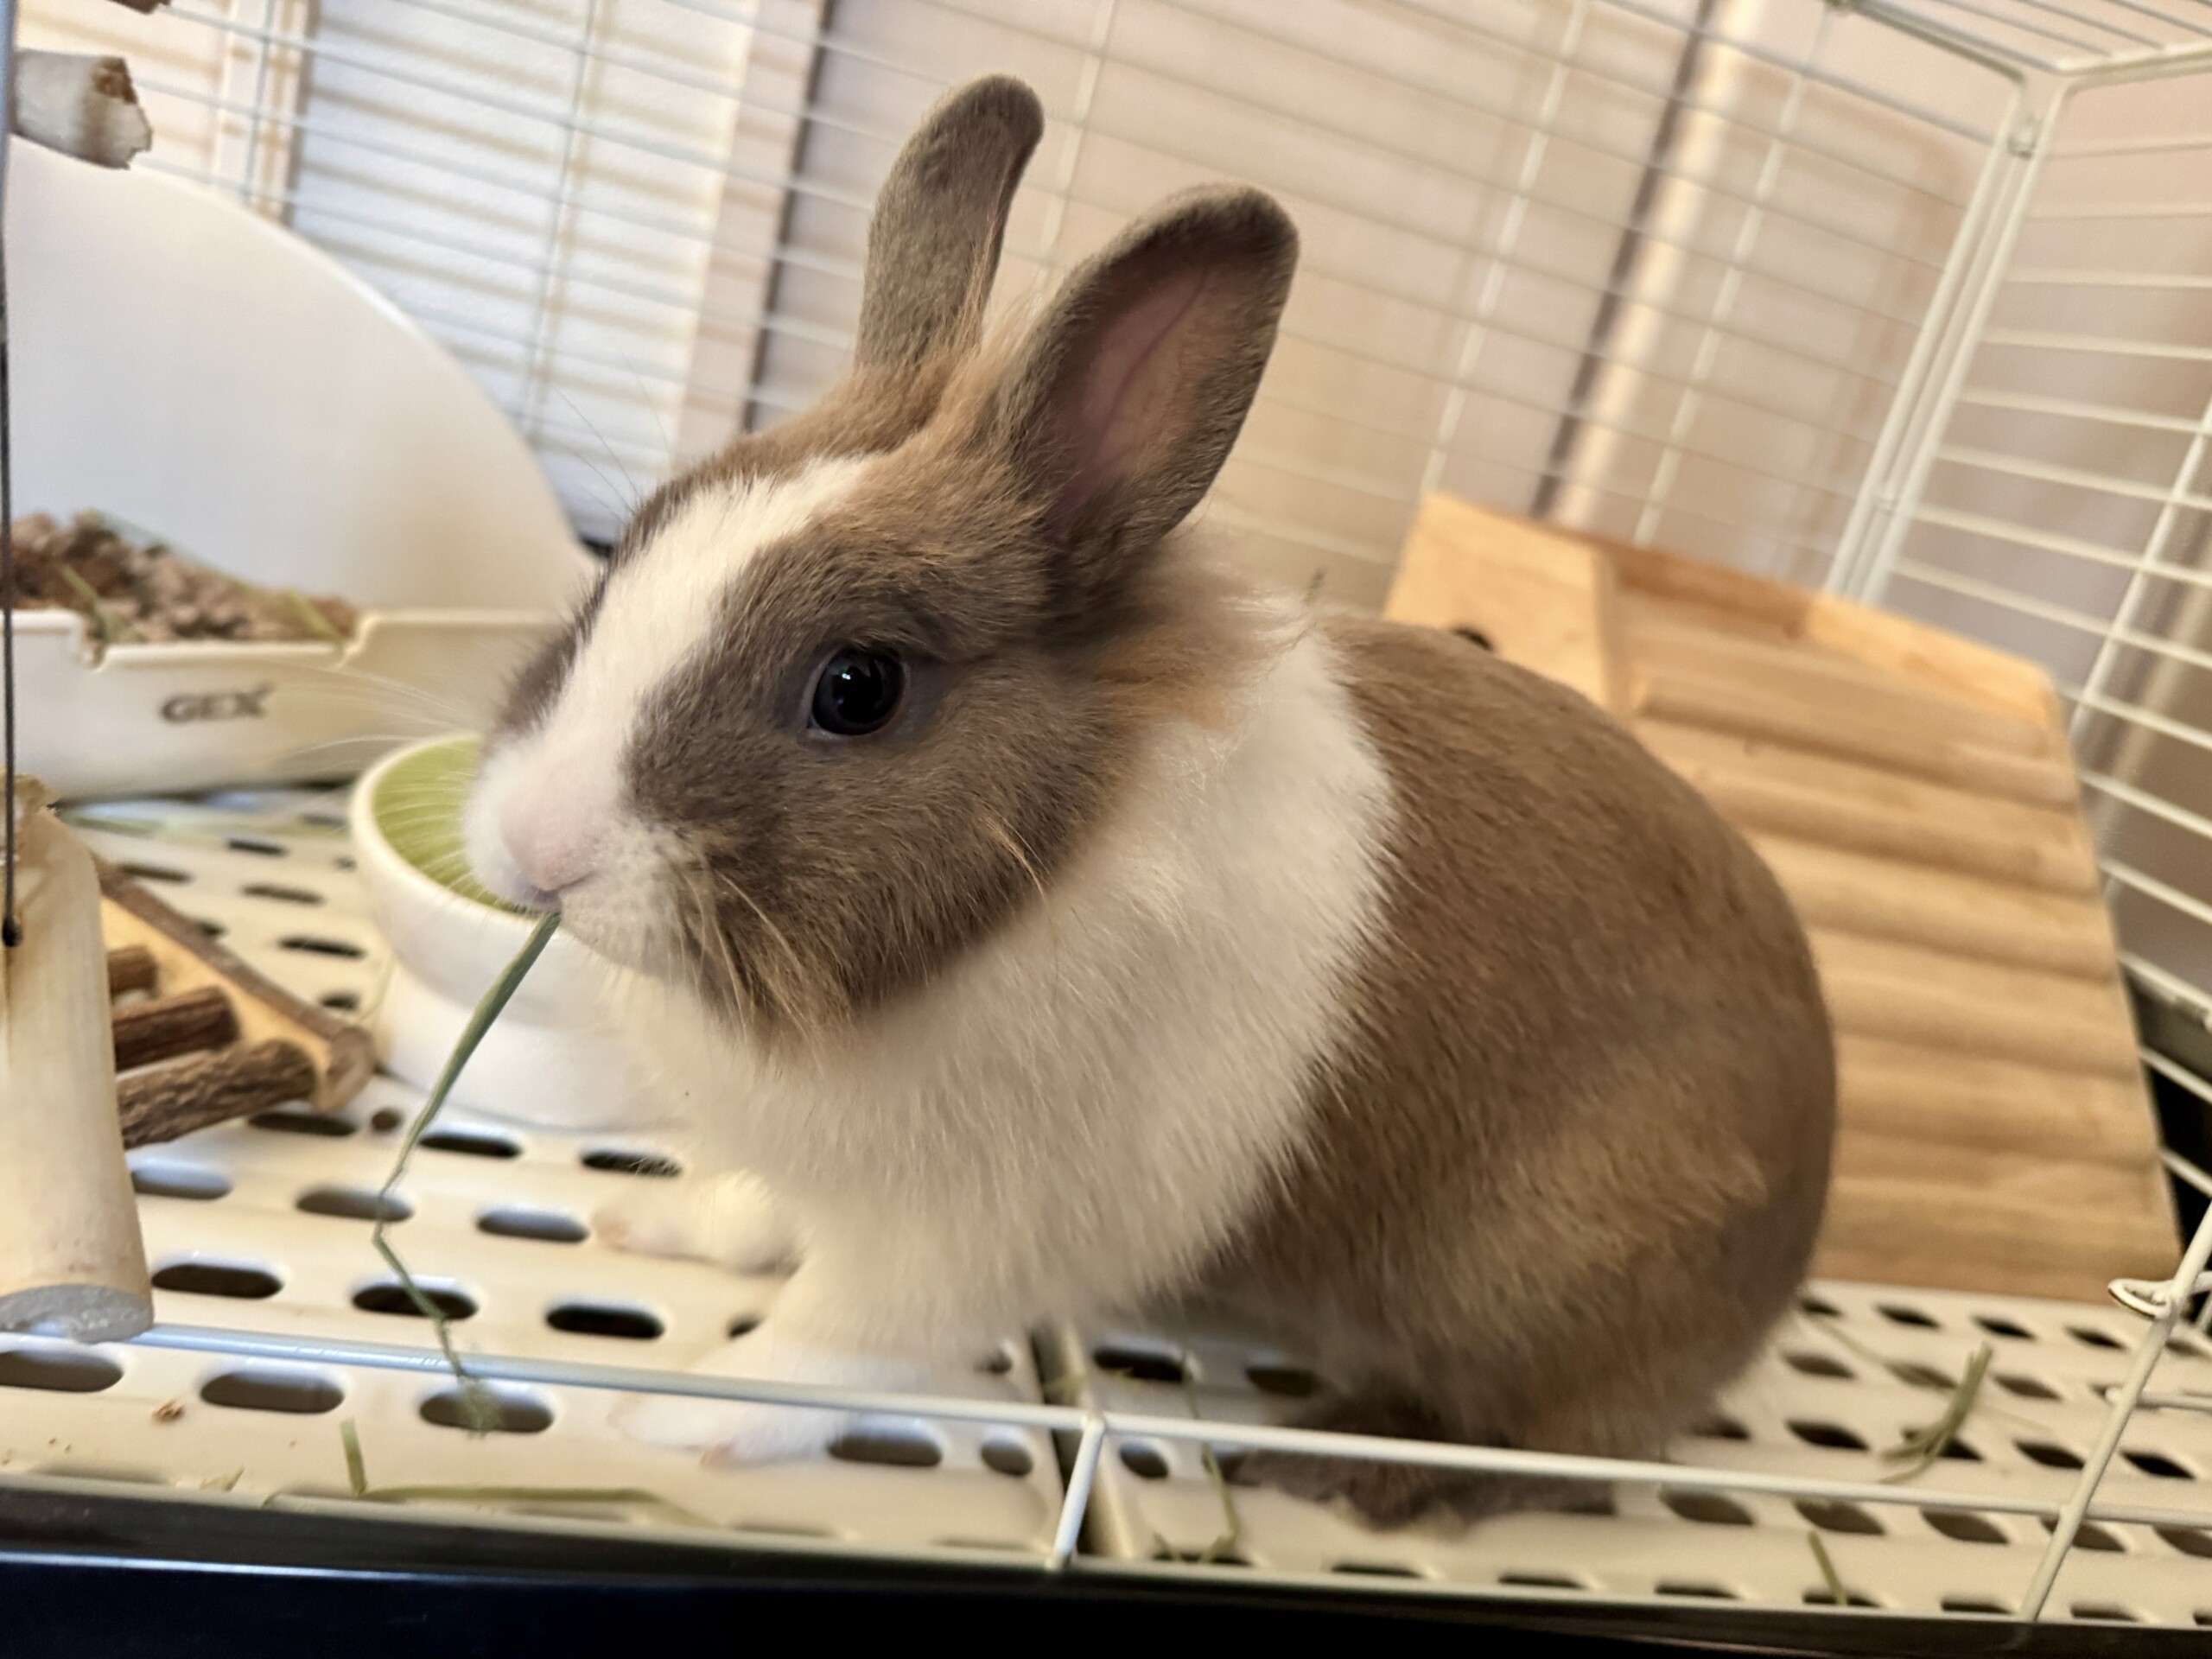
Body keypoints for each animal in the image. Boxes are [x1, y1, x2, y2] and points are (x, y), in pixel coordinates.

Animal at [463, 73, 1836, 1527]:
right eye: (630, 551)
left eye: (857, 686)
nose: (537, 847)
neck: (1051, 861)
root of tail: (1793, 1235)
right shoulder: (847, 1183)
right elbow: (762, 1219)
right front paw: (656, 1219)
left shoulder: (954, 1240)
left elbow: (827, 1345)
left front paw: (667, 1416)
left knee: (1539, 1449)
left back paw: (1346, 1465)